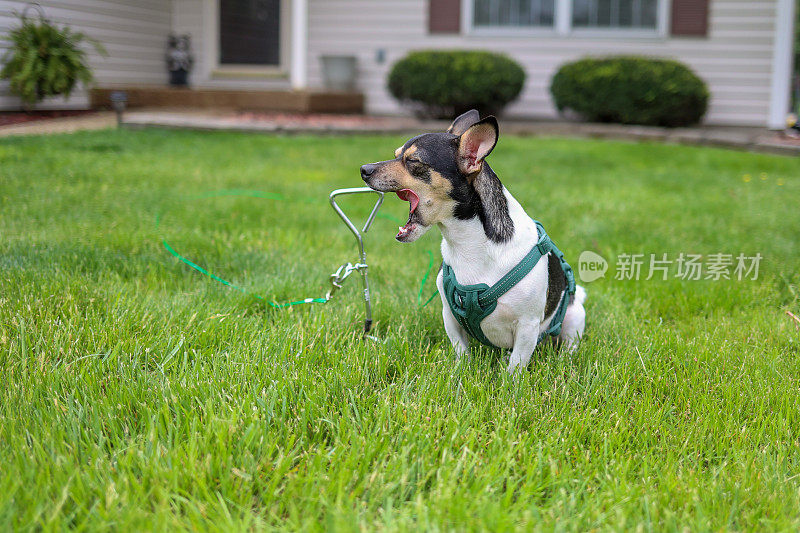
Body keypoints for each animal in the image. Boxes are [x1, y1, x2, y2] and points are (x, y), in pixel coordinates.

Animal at [360, 110, 584, 372]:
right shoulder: (449, 316)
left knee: (568, 344)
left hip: (574, 315)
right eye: (396, 155)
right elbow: (461, 351)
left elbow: (517, 364)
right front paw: (461, 372)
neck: (468, 242)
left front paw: (510, 382)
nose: (364, 169)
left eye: (413, 161)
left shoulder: (528, 326)